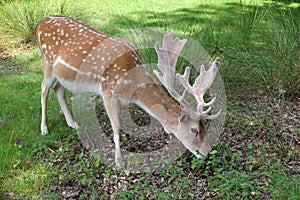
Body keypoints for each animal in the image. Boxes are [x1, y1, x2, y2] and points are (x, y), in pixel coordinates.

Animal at [35, 16, 220, 166]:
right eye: (194, 130)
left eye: (205, 127)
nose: (207, 152)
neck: (132, 87)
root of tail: (39, 23)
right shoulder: (107, 90)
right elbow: (116, 127)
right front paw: (118, 161)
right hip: (47, 62)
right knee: (44, 89)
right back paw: (44, 129)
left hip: (62, 74)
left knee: (58, 89)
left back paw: (72, 123)